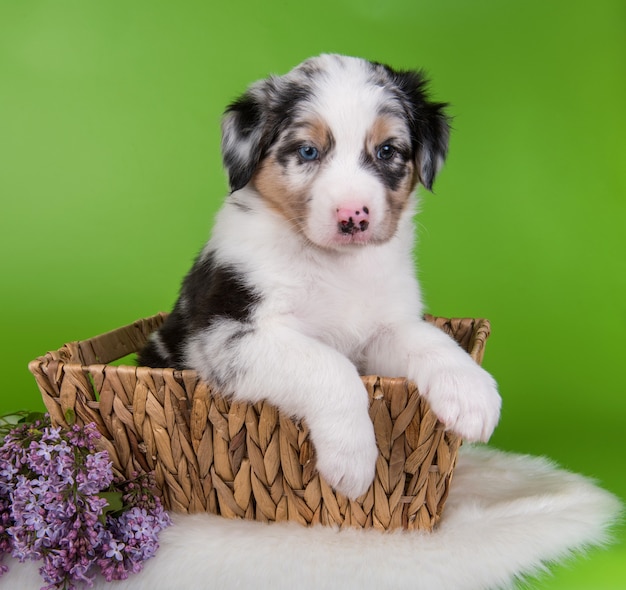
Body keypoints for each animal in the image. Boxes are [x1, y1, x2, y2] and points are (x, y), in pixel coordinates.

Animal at [139, 54, 500, 500]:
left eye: (387, 150)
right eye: (308, 151)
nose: (353, 216)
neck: (336, 265)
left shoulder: (380, 329)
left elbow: (429, 340)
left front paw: (471, 392)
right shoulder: (229, 335)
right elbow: (330, 366)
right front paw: (352, 461)